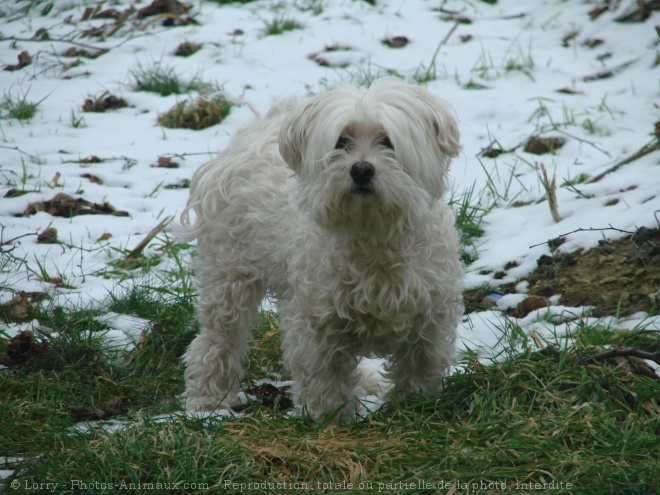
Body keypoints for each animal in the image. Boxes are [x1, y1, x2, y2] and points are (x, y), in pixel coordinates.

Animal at [177, 77, 464, 422]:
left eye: (388, 141)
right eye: (341, 142)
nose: (361, 169)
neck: (372, 236)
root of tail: (253, 135)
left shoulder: (430, 318)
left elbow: (420, 367)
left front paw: (413, 407)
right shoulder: (315, 322)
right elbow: (324, 376)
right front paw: (334, 418)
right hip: (228, 274)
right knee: (218, 338)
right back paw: (208, 398)